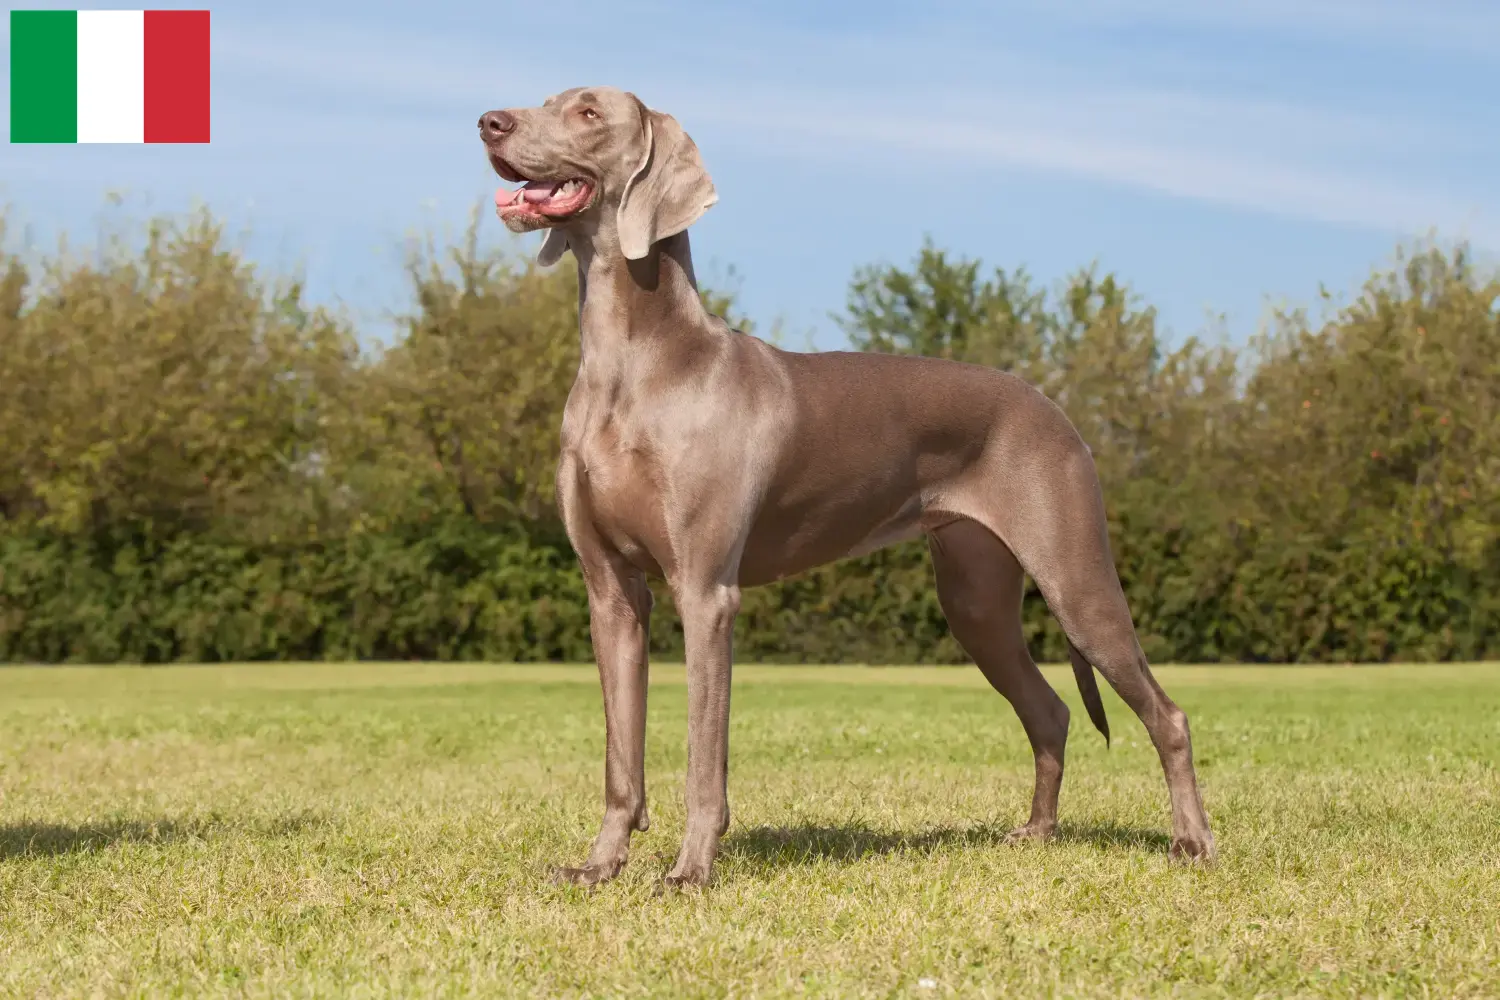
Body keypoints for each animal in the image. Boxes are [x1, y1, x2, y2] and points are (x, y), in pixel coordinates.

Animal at [480, 83, 1218, 881]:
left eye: (587, 112)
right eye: (548, 99)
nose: (490, 122)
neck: (634, 363)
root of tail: (1054, 408)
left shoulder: (706, 593)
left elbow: (704, 756)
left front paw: (692, 868)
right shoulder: (612, 593)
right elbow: (623, 759)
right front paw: (600, 865)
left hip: (1076, 580)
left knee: (1168, 714)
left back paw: (1192, 841)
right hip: (976, 599)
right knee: (1049, 710)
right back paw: (1037, 831)